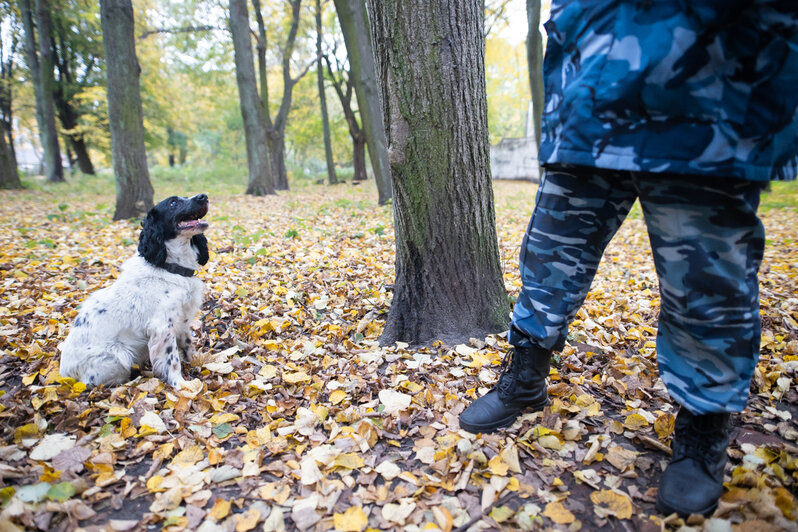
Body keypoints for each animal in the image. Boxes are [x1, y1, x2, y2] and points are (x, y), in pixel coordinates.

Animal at [59, 193, 211, 388]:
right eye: (173, 203)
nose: (203, 196)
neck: (170, 267)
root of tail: (65, 375)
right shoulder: (163, 326)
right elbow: (173, 360)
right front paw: (181, 384)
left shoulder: (182, 319)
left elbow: (188, 344)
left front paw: (199, 363)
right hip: (118, 356)